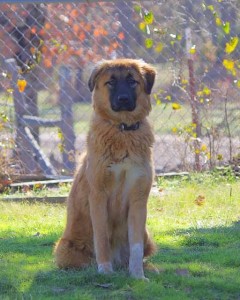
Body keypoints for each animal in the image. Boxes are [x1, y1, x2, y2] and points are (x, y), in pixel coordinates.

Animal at [53, 58, 157, 278]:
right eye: (111, 82)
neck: (123, 130)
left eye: (132, 81)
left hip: (148, 236)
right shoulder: (98, 196)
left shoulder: (138, 199)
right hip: (65, 248)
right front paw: (105, 270)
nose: (123, 99)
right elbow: (101, 237)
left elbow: (135, 246)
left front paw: (138, 275)